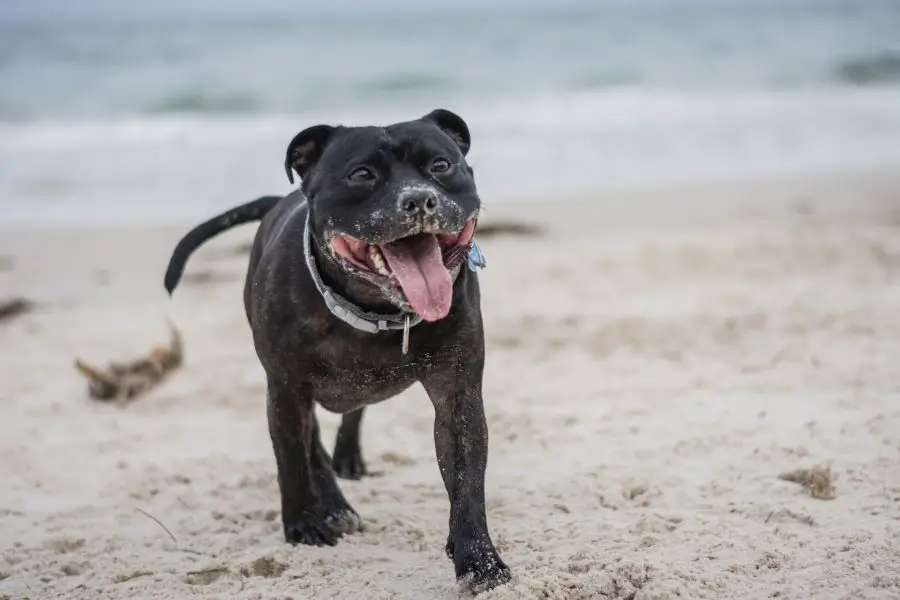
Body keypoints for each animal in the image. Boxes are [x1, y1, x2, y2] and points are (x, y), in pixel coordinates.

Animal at [164, 109, 510, 592]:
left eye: (441, 166)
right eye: (361, 174)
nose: (419, 200)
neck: (377, 311)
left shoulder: (458, 396)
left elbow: (466, 481)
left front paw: (478, 559)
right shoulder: (286, 387)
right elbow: (292, 458)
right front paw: (304, 524)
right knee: (309, 443)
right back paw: (333, 506)